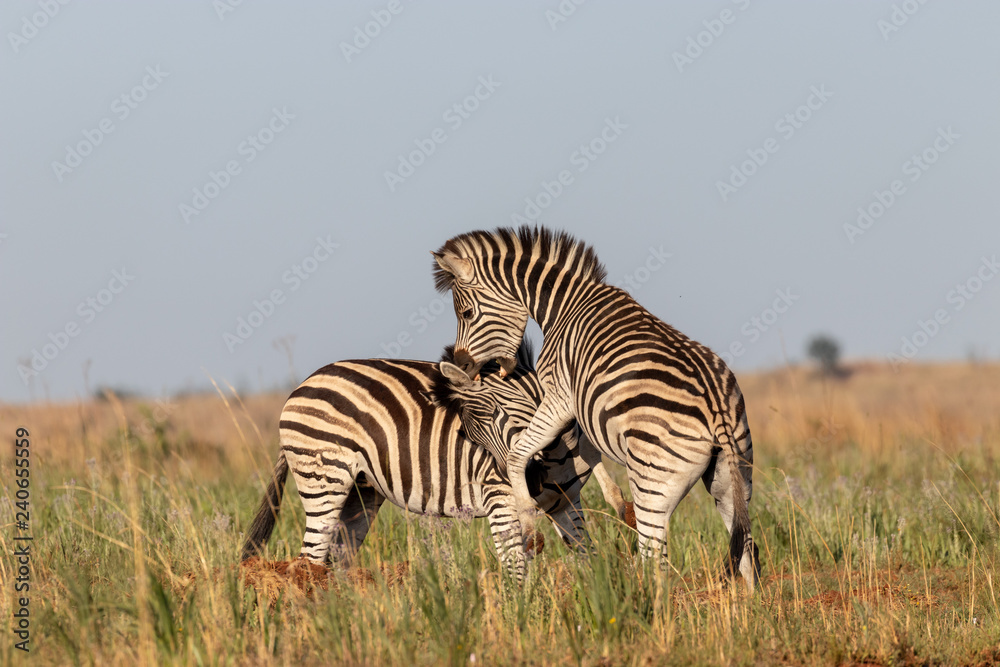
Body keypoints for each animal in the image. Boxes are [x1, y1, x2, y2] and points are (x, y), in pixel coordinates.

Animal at [240, 341, 628, 582]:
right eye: (471, 429)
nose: (528, 479)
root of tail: (303, 384)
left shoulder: (566, 501)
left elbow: (587, 556)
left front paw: (595, 601)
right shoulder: (499, 497)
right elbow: (515, 567)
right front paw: (517, 620)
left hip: (360, 492)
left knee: (335, 561)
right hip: (325, 477)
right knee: (309, 561)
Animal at [431, 226, 761, 590]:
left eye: (466, 314)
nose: (460, 363)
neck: (564, 305)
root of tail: (716, 409)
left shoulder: (560, 393)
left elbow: (520, 454)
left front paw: (528, 524)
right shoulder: (583, 406)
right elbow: (585, 450)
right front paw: (616, 502)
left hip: (653, 484)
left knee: (655, 559)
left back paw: (643, 601)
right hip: (732, 476)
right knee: (744, 545)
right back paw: (750, 604)